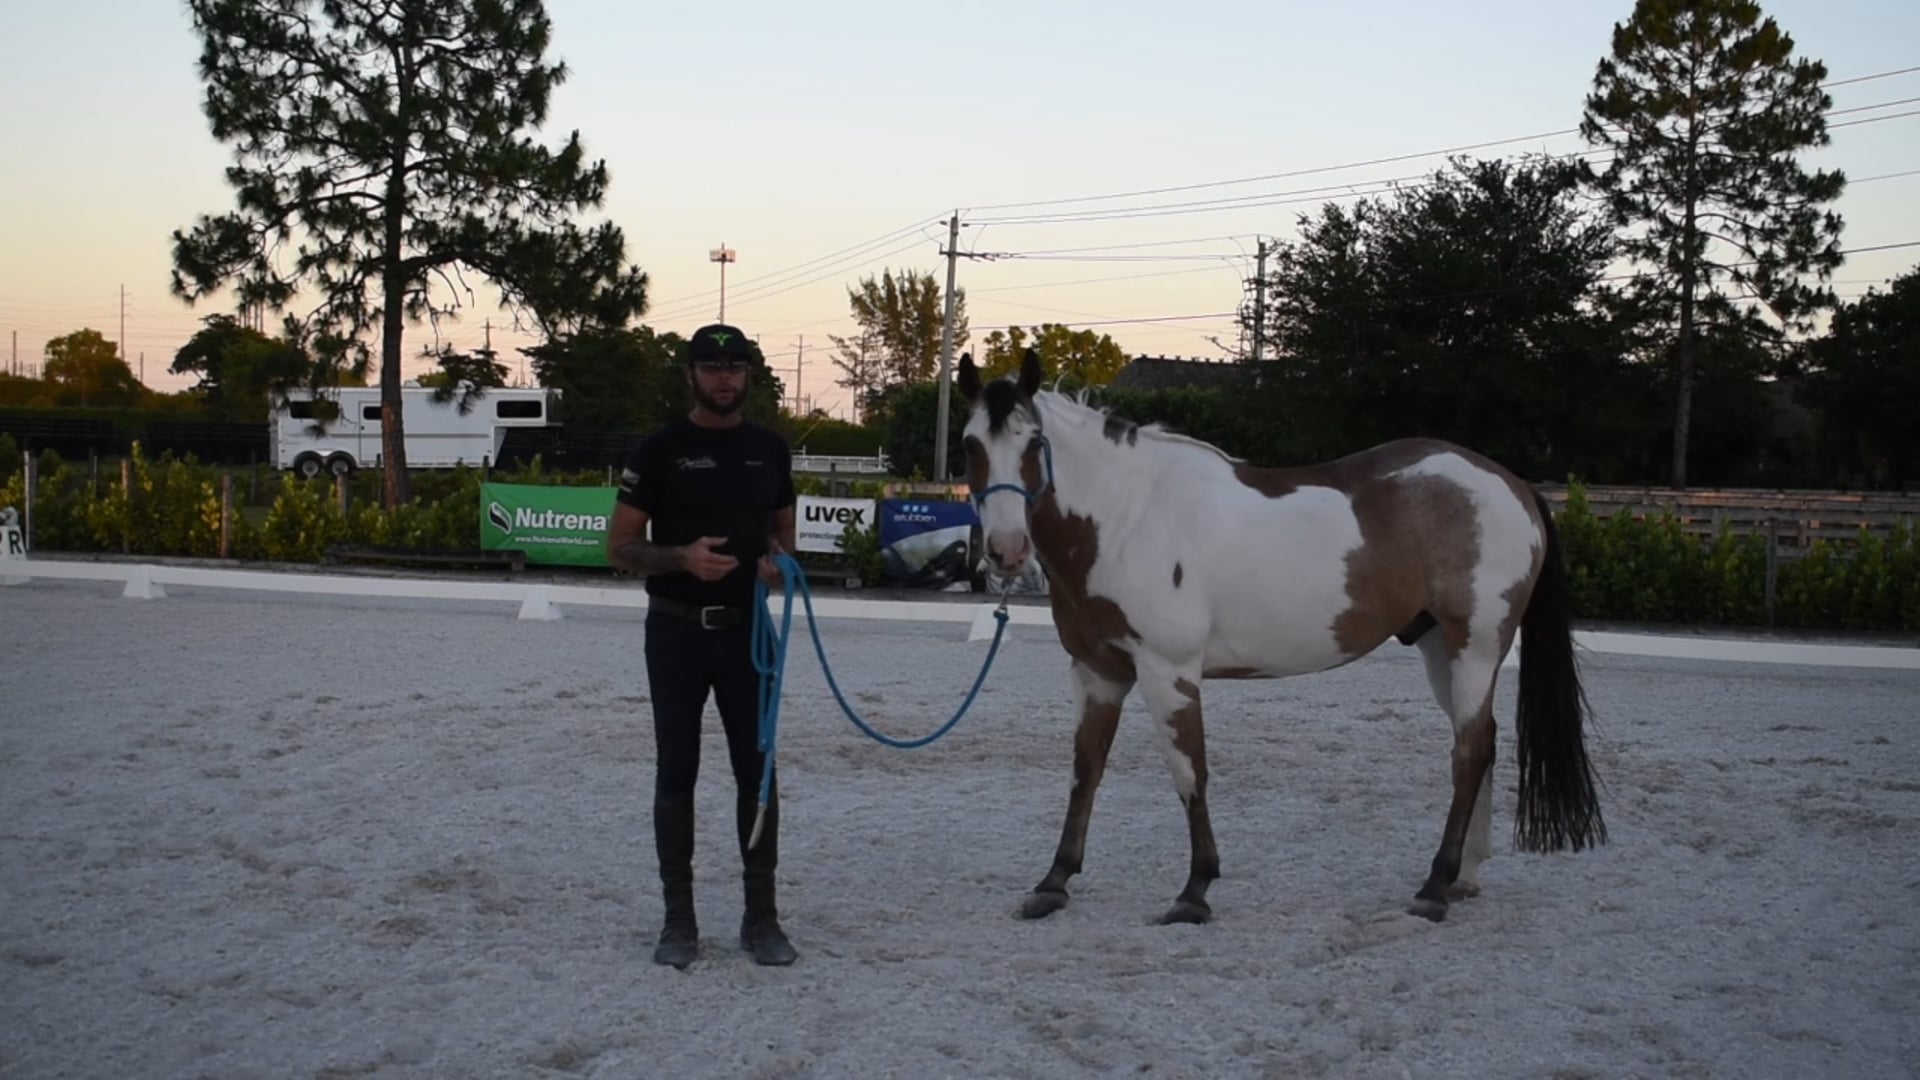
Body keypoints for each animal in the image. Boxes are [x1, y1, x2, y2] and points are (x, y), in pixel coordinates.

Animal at [956, 349, 1606, 925]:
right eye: (971, 447)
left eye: (1032, 444)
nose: (1006, 551)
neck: (1128, 518)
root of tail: (1511, 483)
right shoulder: (1097, 672)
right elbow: (1083, 772)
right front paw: (1053, 883)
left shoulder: (1168, 671)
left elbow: (1189, 773)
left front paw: (1194, 892)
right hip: (1440, 650)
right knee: (1479, 744)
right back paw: (1464, 878)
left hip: (1476, 646)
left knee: (1470, 751)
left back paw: (1434, 888)